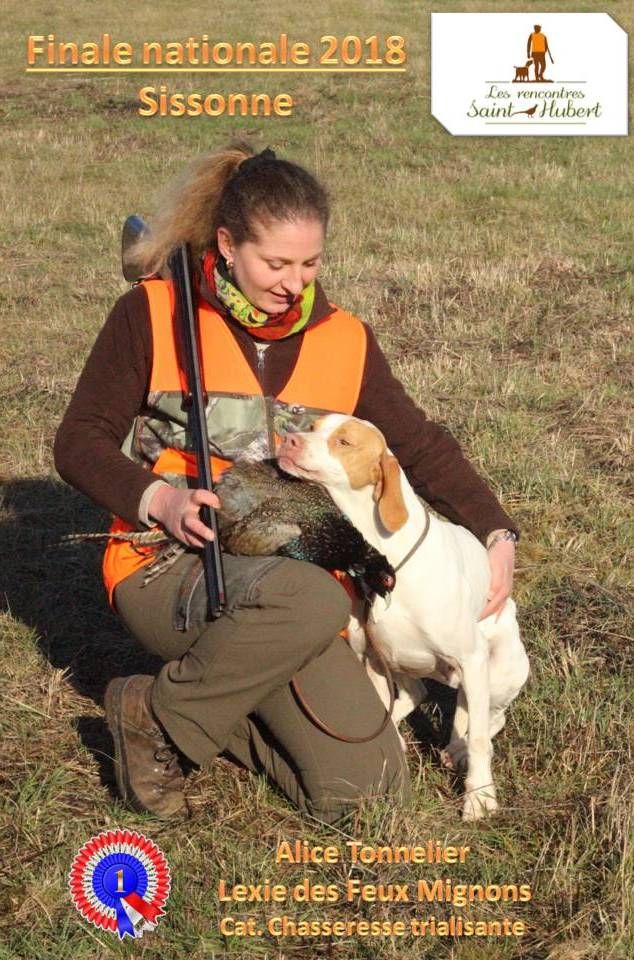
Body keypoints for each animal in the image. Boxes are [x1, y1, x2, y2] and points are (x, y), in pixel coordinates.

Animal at [278, 412, 528, 816]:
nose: (288, 441)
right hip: (412, 665)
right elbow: (384, 714)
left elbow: (478, 738)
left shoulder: (471, 658)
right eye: (312, 427)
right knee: (419, 694)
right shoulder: (375, 660)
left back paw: (459, 750)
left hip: (497, 671)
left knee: (488, 718)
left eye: (344, 442)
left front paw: (479, 796)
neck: (386, 563)